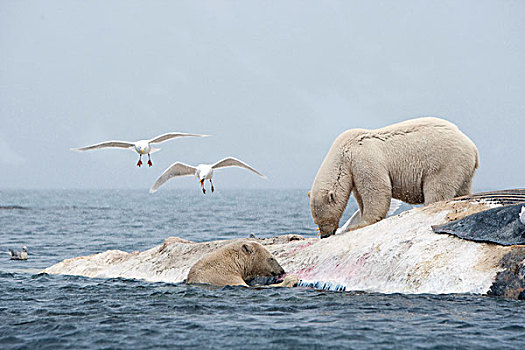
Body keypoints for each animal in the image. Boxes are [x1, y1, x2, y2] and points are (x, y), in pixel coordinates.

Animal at [310, 117, 476, 238]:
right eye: (316, 221)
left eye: (321, 220)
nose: (325, 235)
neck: (343, 152)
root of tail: (473, 149)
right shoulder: (354, 171)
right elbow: (361, 196)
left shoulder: (362, 159)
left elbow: (376, 190)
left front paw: (359, 224)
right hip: (462, 168)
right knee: (462, 187)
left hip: (444, 163)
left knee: (437, 189)